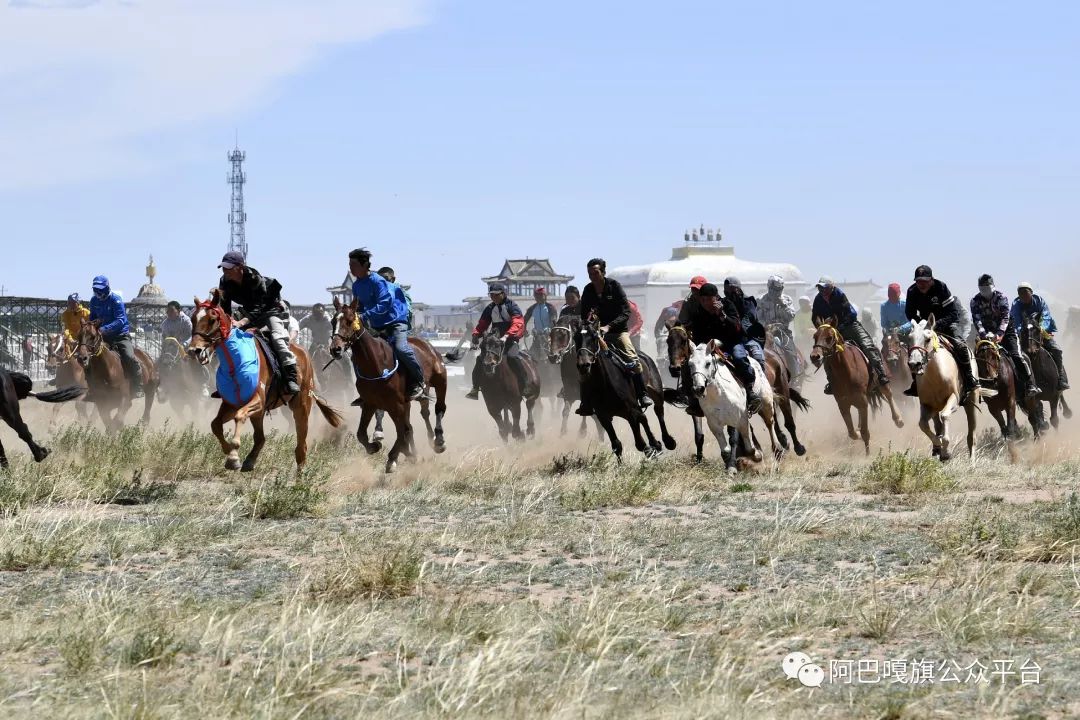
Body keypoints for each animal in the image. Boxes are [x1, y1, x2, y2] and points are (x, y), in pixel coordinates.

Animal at [187, 293, 343, 472]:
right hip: (262, 412)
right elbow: (215, 424)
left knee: (301, 443)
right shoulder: (232, 403)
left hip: (301, 405)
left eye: (212, 319)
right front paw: (228, 451)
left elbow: (239, 416)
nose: (194, 350)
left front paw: (233, 457)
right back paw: (250, 461)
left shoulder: (258, 400)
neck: (235, 361)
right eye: (193, 318)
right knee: (260, 438)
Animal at [328, 297, 447, 472]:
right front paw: (376, 446)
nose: (335, 349)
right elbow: (362, 434)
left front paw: (393, 458)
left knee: (439, 408)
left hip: (439, 381)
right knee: (416, 420)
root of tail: (428, 346)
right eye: (333, 321)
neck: (376, 363)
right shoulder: (371, 403)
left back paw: (438, 441)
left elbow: (402, 433)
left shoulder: (396, 404)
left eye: (349, 321)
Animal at [574, 315, 673, 462]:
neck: (605, 383)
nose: (584, 365)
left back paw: (667, 441)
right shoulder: (604, 417)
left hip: (656, 393)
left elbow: (640, 442)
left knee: (658, 411)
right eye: (576, 338)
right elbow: (616, 445)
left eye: (594, 337)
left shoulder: (630, 412)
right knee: (644, 418)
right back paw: (656, 444)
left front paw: (651, 450)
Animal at [686, 341, 781, 474]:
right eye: (690, 364)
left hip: (766, 404)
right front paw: (731, 468)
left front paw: (757, 456)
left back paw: (777, 449)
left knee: (770, 423)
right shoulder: (714, 424)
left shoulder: (740, 419)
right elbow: (726, 450)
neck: (719, 394)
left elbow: (745, 446)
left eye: (708, 363)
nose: (698, 389)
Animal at [812, 317, 902, 453]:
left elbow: (865, 433)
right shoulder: (843, 404)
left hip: (882, 382)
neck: (845, 372)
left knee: (889, 395)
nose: (815, 356)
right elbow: (852, 432)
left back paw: (898, 419)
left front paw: (868, 454)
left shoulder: (863, 402)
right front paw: (857, 433)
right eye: (815, 336)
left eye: (830, 337)